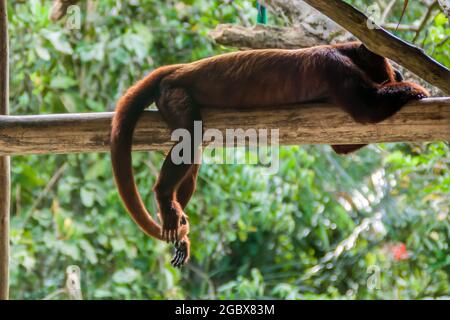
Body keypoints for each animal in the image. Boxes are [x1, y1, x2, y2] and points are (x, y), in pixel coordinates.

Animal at [110, 42, 428, 268]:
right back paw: (164, 197)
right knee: (190, 137)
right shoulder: (334, 66)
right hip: (174, 94)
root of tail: (176, 70)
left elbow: (341, 144)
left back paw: (178, 229)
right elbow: (366, 109)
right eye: (388, 66)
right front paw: (414, 88)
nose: (397, 72)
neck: (342, 48)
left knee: (193, 153)